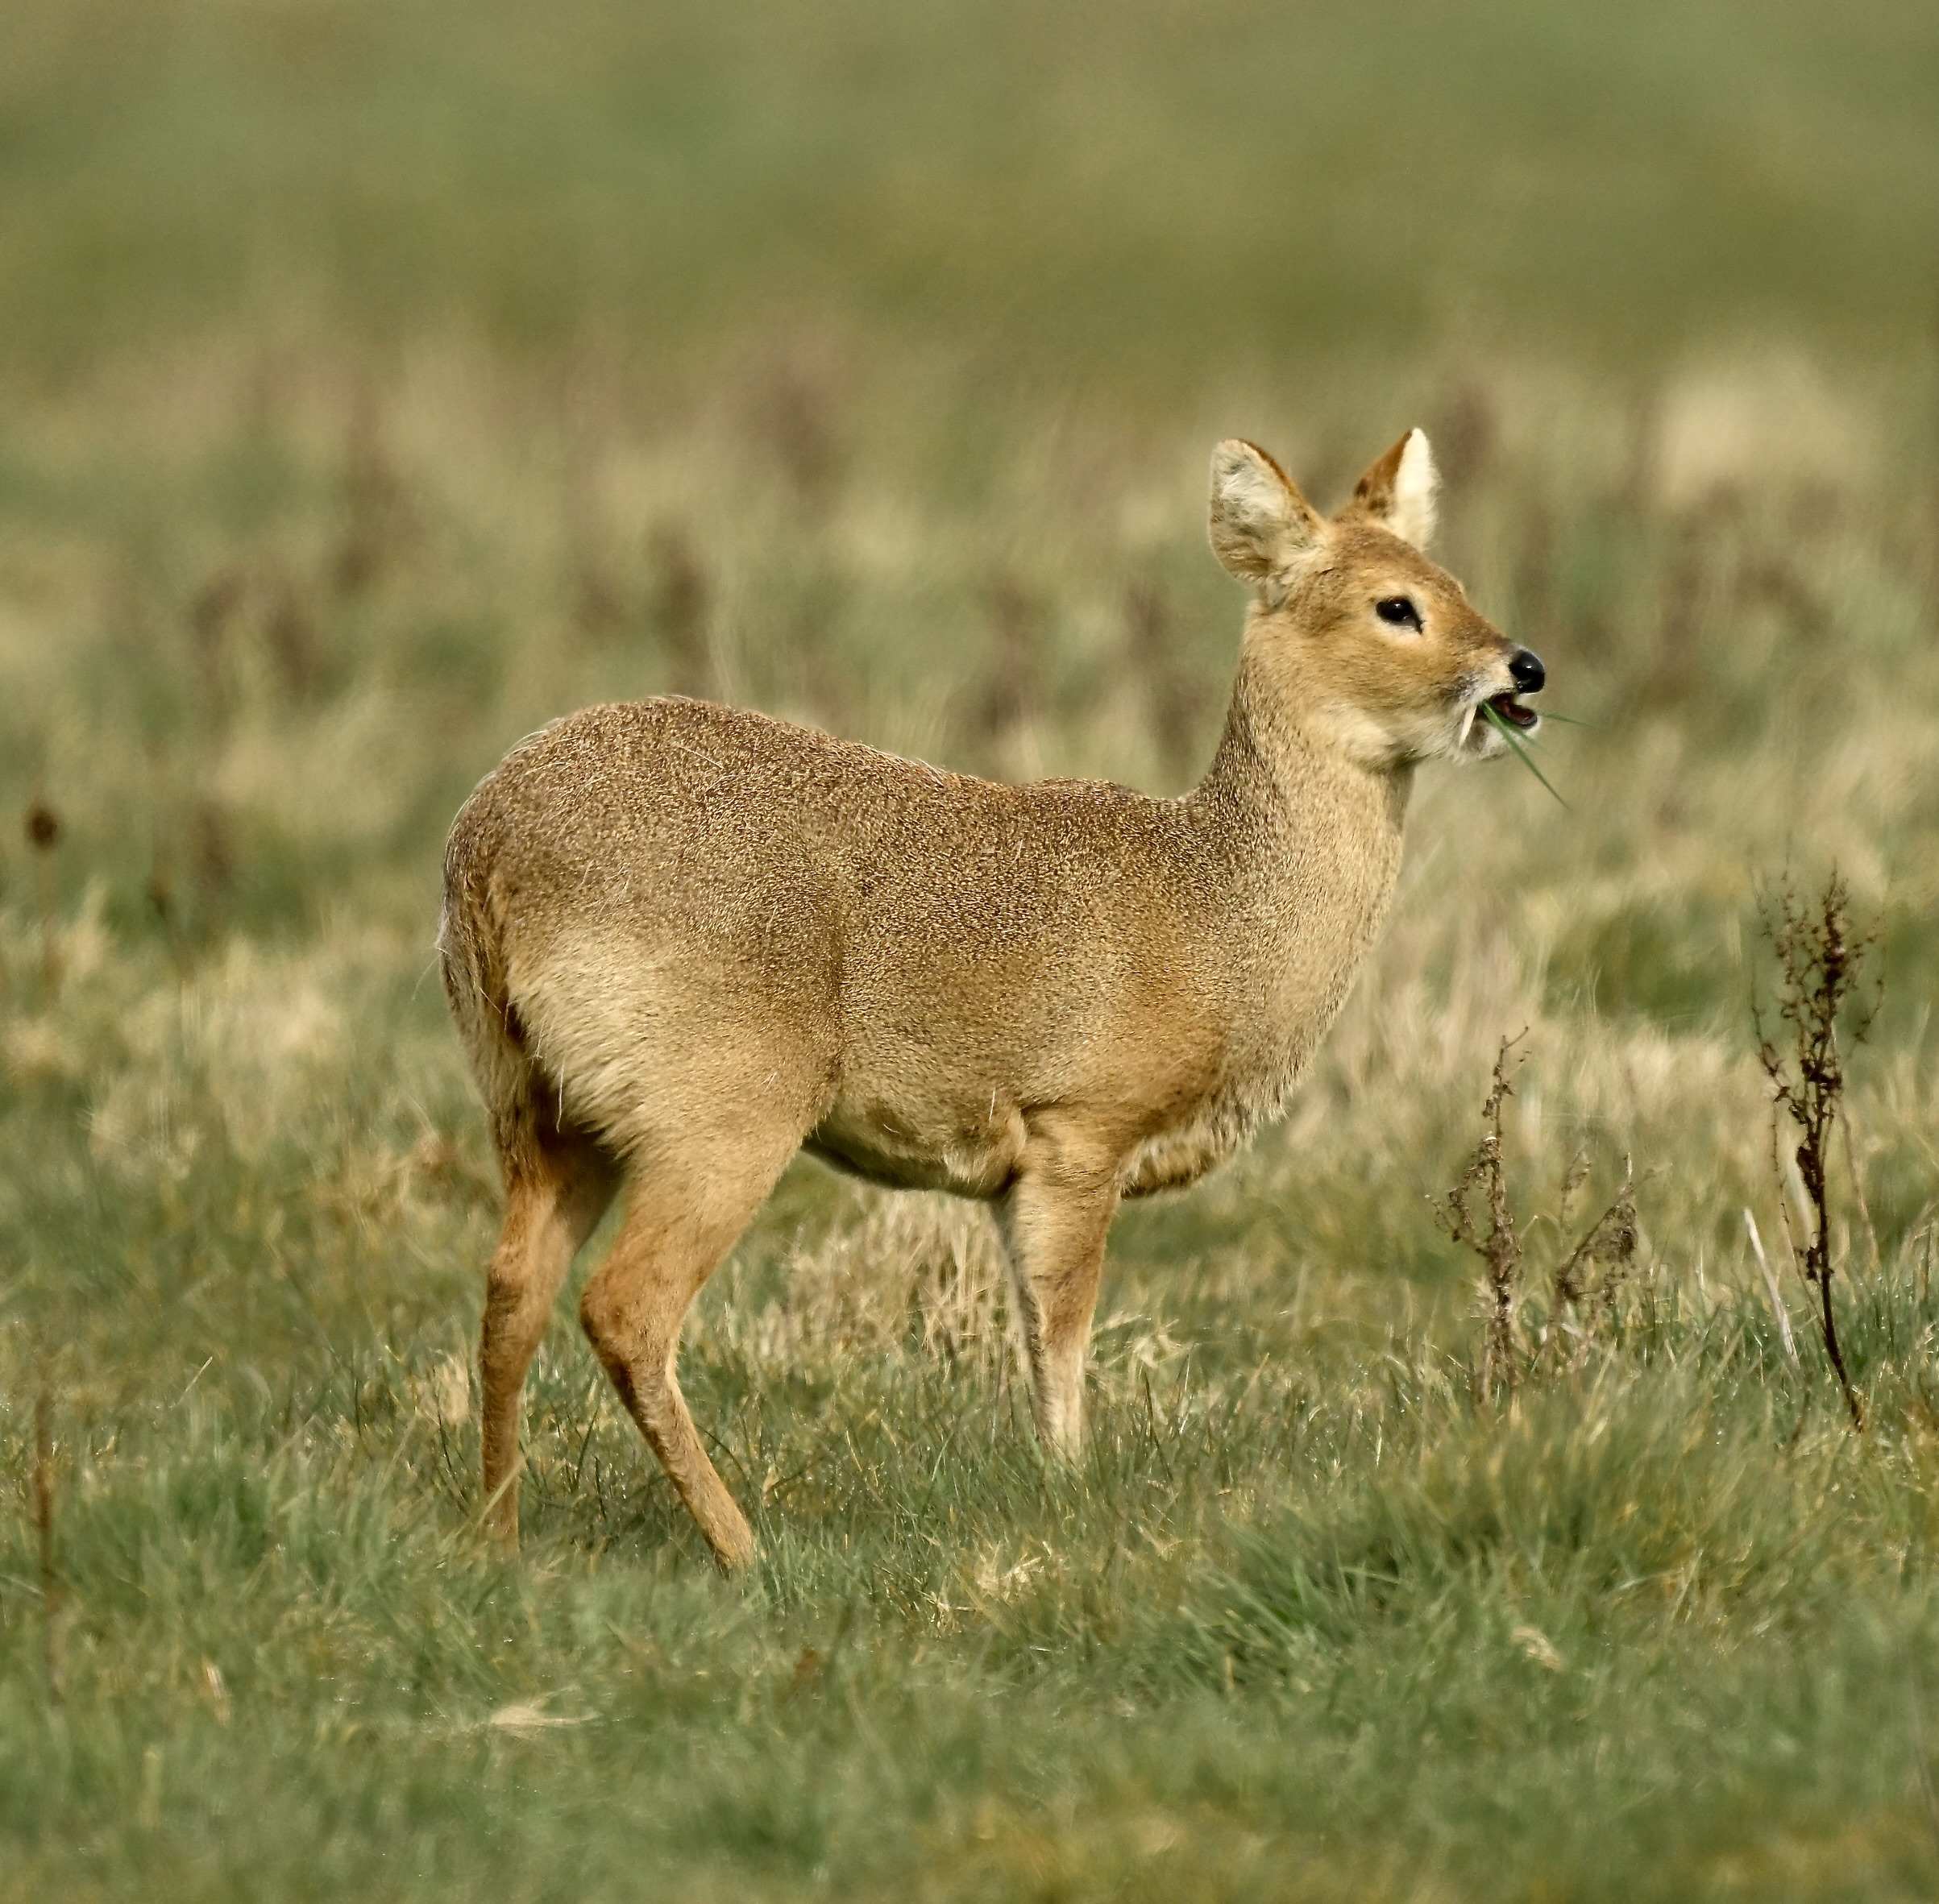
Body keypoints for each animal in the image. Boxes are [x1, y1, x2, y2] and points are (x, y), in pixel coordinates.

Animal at [438, 429, 1545, 1568]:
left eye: (1457, 582)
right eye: (1395, 605)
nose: (1524, 667)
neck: (1219, 908)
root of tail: (483, 844)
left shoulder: (1015, 1176)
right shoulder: (1080, 1134)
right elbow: (1061, 1332)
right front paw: (1073, 1494)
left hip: (543, 1112)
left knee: (511, 1291)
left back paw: (499, 1538)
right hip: (722, 1113)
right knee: (625, 1306)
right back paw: (745, 1549)